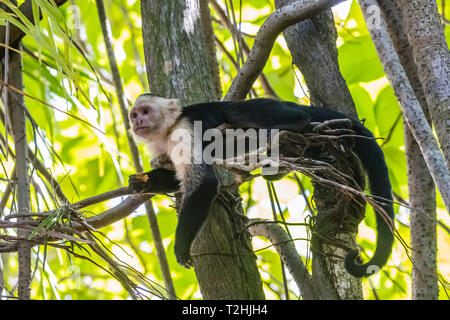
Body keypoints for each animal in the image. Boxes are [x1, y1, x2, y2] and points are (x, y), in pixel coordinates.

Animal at [127, 93, 394, 278]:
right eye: (134, 114)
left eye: (146, 111)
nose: (139, 121)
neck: (167, 131)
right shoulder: (161, 148)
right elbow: (177, 177)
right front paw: (145, 182)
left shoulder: (183, 131)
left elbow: (204, 181)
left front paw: (181, 248)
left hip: (273, 107)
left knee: (236, 110)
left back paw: (290, 125)